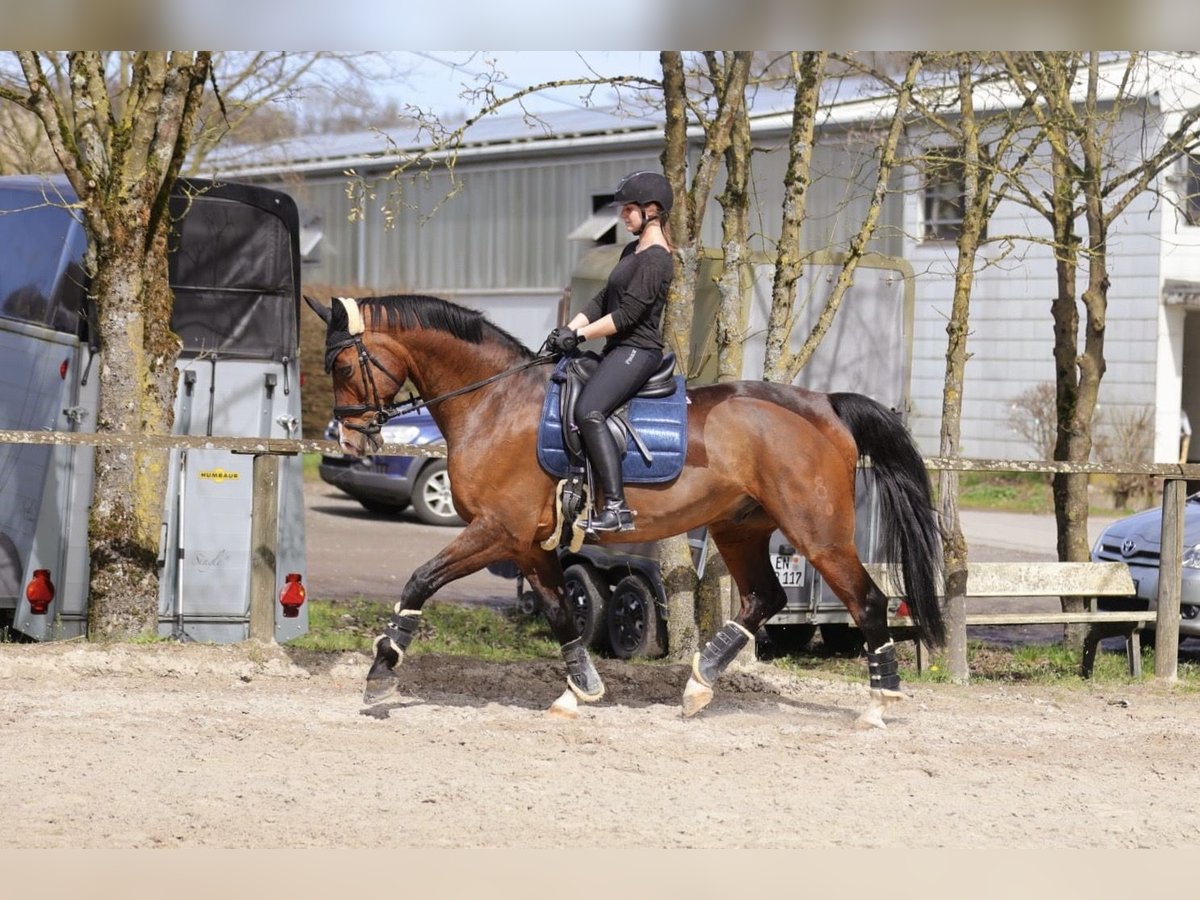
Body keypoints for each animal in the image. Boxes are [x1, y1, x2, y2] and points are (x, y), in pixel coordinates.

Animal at [309, 292, 945, 729]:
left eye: (342, 367)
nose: (350, 440)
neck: (493, 401)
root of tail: (825, 405)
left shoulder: (495, 530)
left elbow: (419, 581)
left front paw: (381, 672)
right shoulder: (528, 544)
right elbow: (562, 614)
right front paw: (579, 690)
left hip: (818, 533)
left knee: (867, 601)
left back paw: (877, 705)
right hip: (740, 527)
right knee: (765, 597)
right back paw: (699, 685)